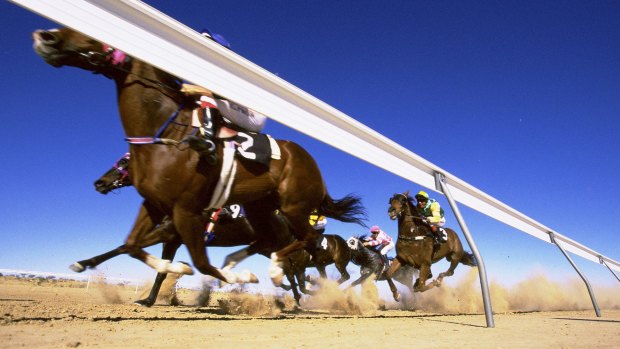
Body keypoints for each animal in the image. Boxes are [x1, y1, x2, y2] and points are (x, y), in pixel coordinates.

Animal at [31, 28, 366, 286]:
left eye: (123, 162)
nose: (47, 36)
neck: (165, 136)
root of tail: (312, 163)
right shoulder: (154, 206)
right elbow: (130, 245)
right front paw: (169, 272)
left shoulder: (185, 214)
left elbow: (202, 263)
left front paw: (237, 277)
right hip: (260, 208)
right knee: (269, 244)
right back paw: (244, 263)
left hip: (294, 206)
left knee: (304, 243)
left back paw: (272, 271)